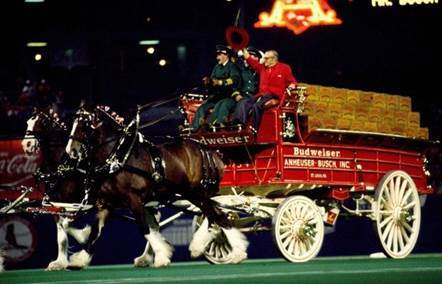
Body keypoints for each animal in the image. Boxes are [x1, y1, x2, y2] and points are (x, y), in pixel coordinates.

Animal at [66, 104, 250, 266]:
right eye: (72, 122)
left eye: (85, 123)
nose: (70, 151)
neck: (118, 156)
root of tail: (208, 151)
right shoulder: (105, 204)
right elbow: (95, 233)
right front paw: (79, 260)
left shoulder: (134, 199)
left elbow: (145, 229)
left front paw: (161, 256)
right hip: (195, 194)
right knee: (214, 216)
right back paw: (213, 248)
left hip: (197, 193)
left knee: (216, 217)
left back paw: (236, 251)